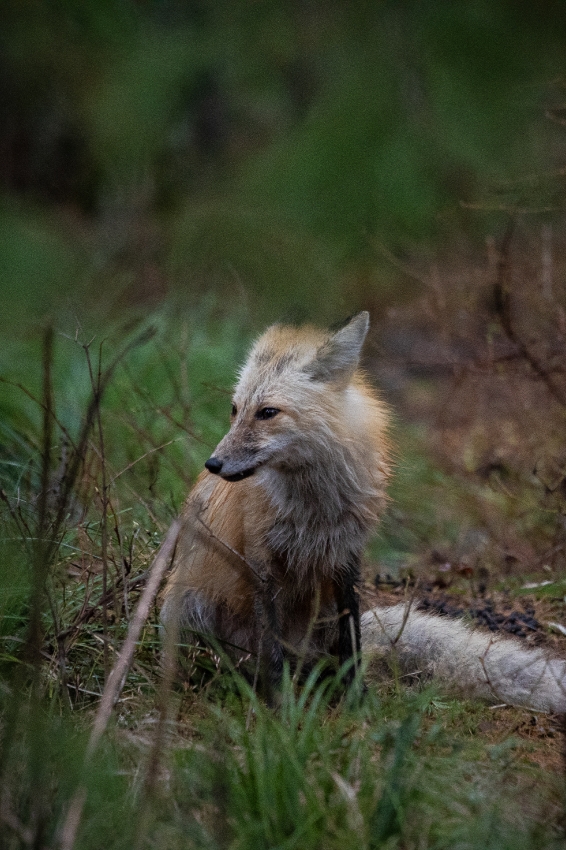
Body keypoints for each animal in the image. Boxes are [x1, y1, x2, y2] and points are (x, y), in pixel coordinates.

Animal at [161, 312, 566, 708]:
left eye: (267, 413)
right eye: (234, 410)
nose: (213, 464)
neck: (314, 508)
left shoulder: (346, 556)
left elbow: (351, 638)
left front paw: (356, 700)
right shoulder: (261, 563)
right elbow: (272, 651)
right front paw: (281, 707)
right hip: (187, 605)